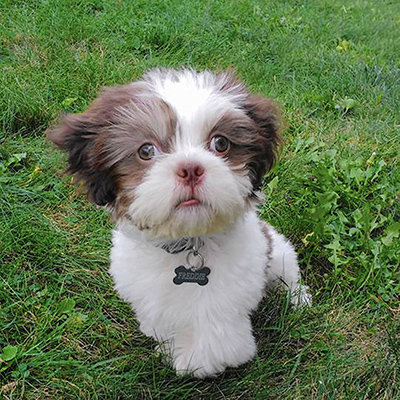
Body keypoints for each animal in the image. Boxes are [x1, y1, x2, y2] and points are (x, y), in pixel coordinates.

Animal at [47, 69, 312, 378]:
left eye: (221, 143)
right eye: (146, 151)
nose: (191, 168)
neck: (189, 240)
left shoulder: (231, 288)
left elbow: (218, 329)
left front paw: (202, 360)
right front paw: (173, 348)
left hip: (279, 252)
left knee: (289, 277)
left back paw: (298, 299)